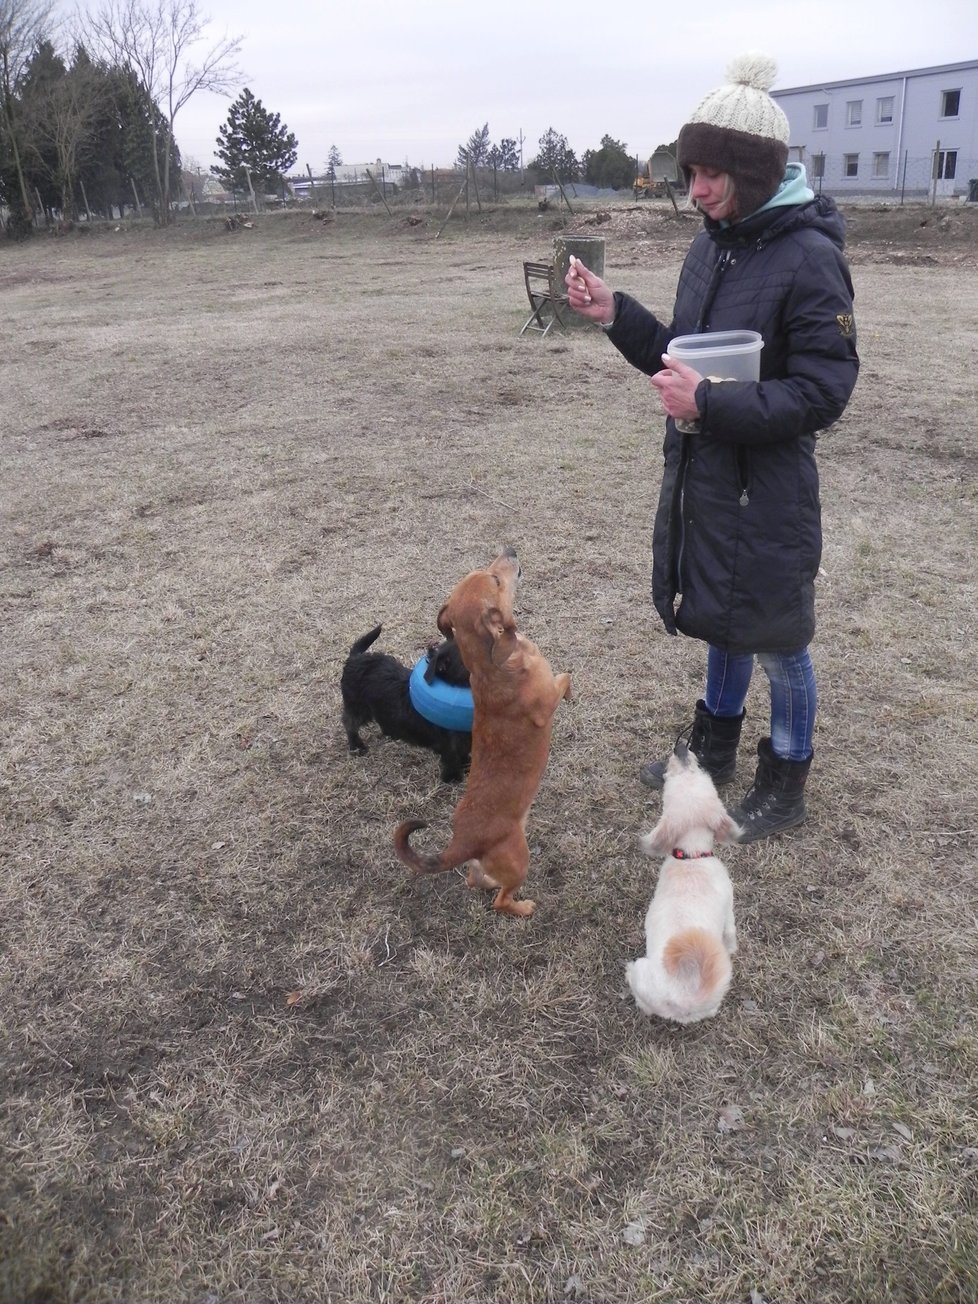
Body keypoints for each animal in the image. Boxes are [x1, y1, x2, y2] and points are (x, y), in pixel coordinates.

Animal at [341, 623, 472, 782]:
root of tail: (356, 658)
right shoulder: (449, 745)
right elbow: (451, 759)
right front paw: (452, 778)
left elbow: (463, 753)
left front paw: (467, 765)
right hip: (358, 708)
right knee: (349, 723)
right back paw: (356, 746)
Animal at [393, 547, 571, 918]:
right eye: (496, 580)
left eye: (488, 571)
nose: (510, 550)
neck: (492, 663)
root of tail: (462, 843)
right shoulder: (546, 703)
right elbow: (566, 678)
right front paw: (572, 693)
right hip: (519, 860)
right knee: (502, 900)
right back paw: (523, 907)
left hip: (485, 865)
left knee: (474, 881)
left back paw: (487, 882)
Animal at [628, 751, 740, 1022]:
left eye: (698, 772)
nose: (681, 749)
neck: (692, 856)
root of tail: (684, 997)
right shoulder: (729, 906)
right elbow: (730, 934)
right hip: (639, 968)